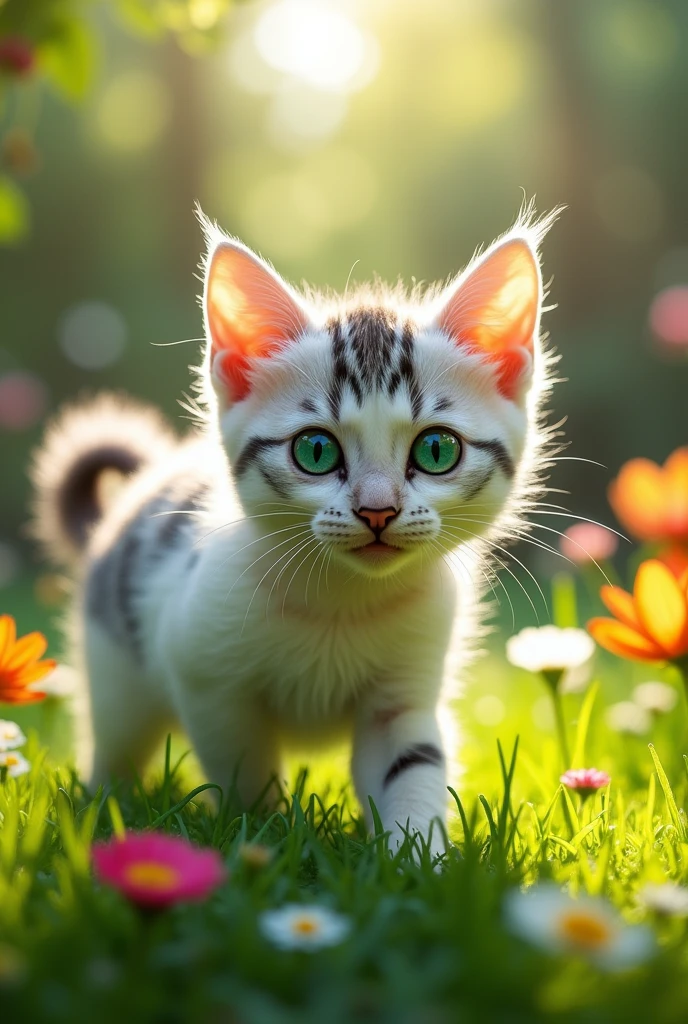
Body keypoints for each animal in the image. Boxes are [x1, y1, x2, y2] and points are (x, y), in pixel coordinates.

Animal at [30, 207, 556, 856]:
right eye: (315, 450)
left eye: (437, 450)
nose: (377, 510)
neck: (341, 601)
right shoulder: (205, 674)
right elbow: (241, 766)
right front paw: (262, 836)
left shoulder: (406, 690)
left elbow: (412, 765)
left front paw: (418, 859)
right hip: (115, 668)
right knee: (116, 743)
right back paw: (105, 801)